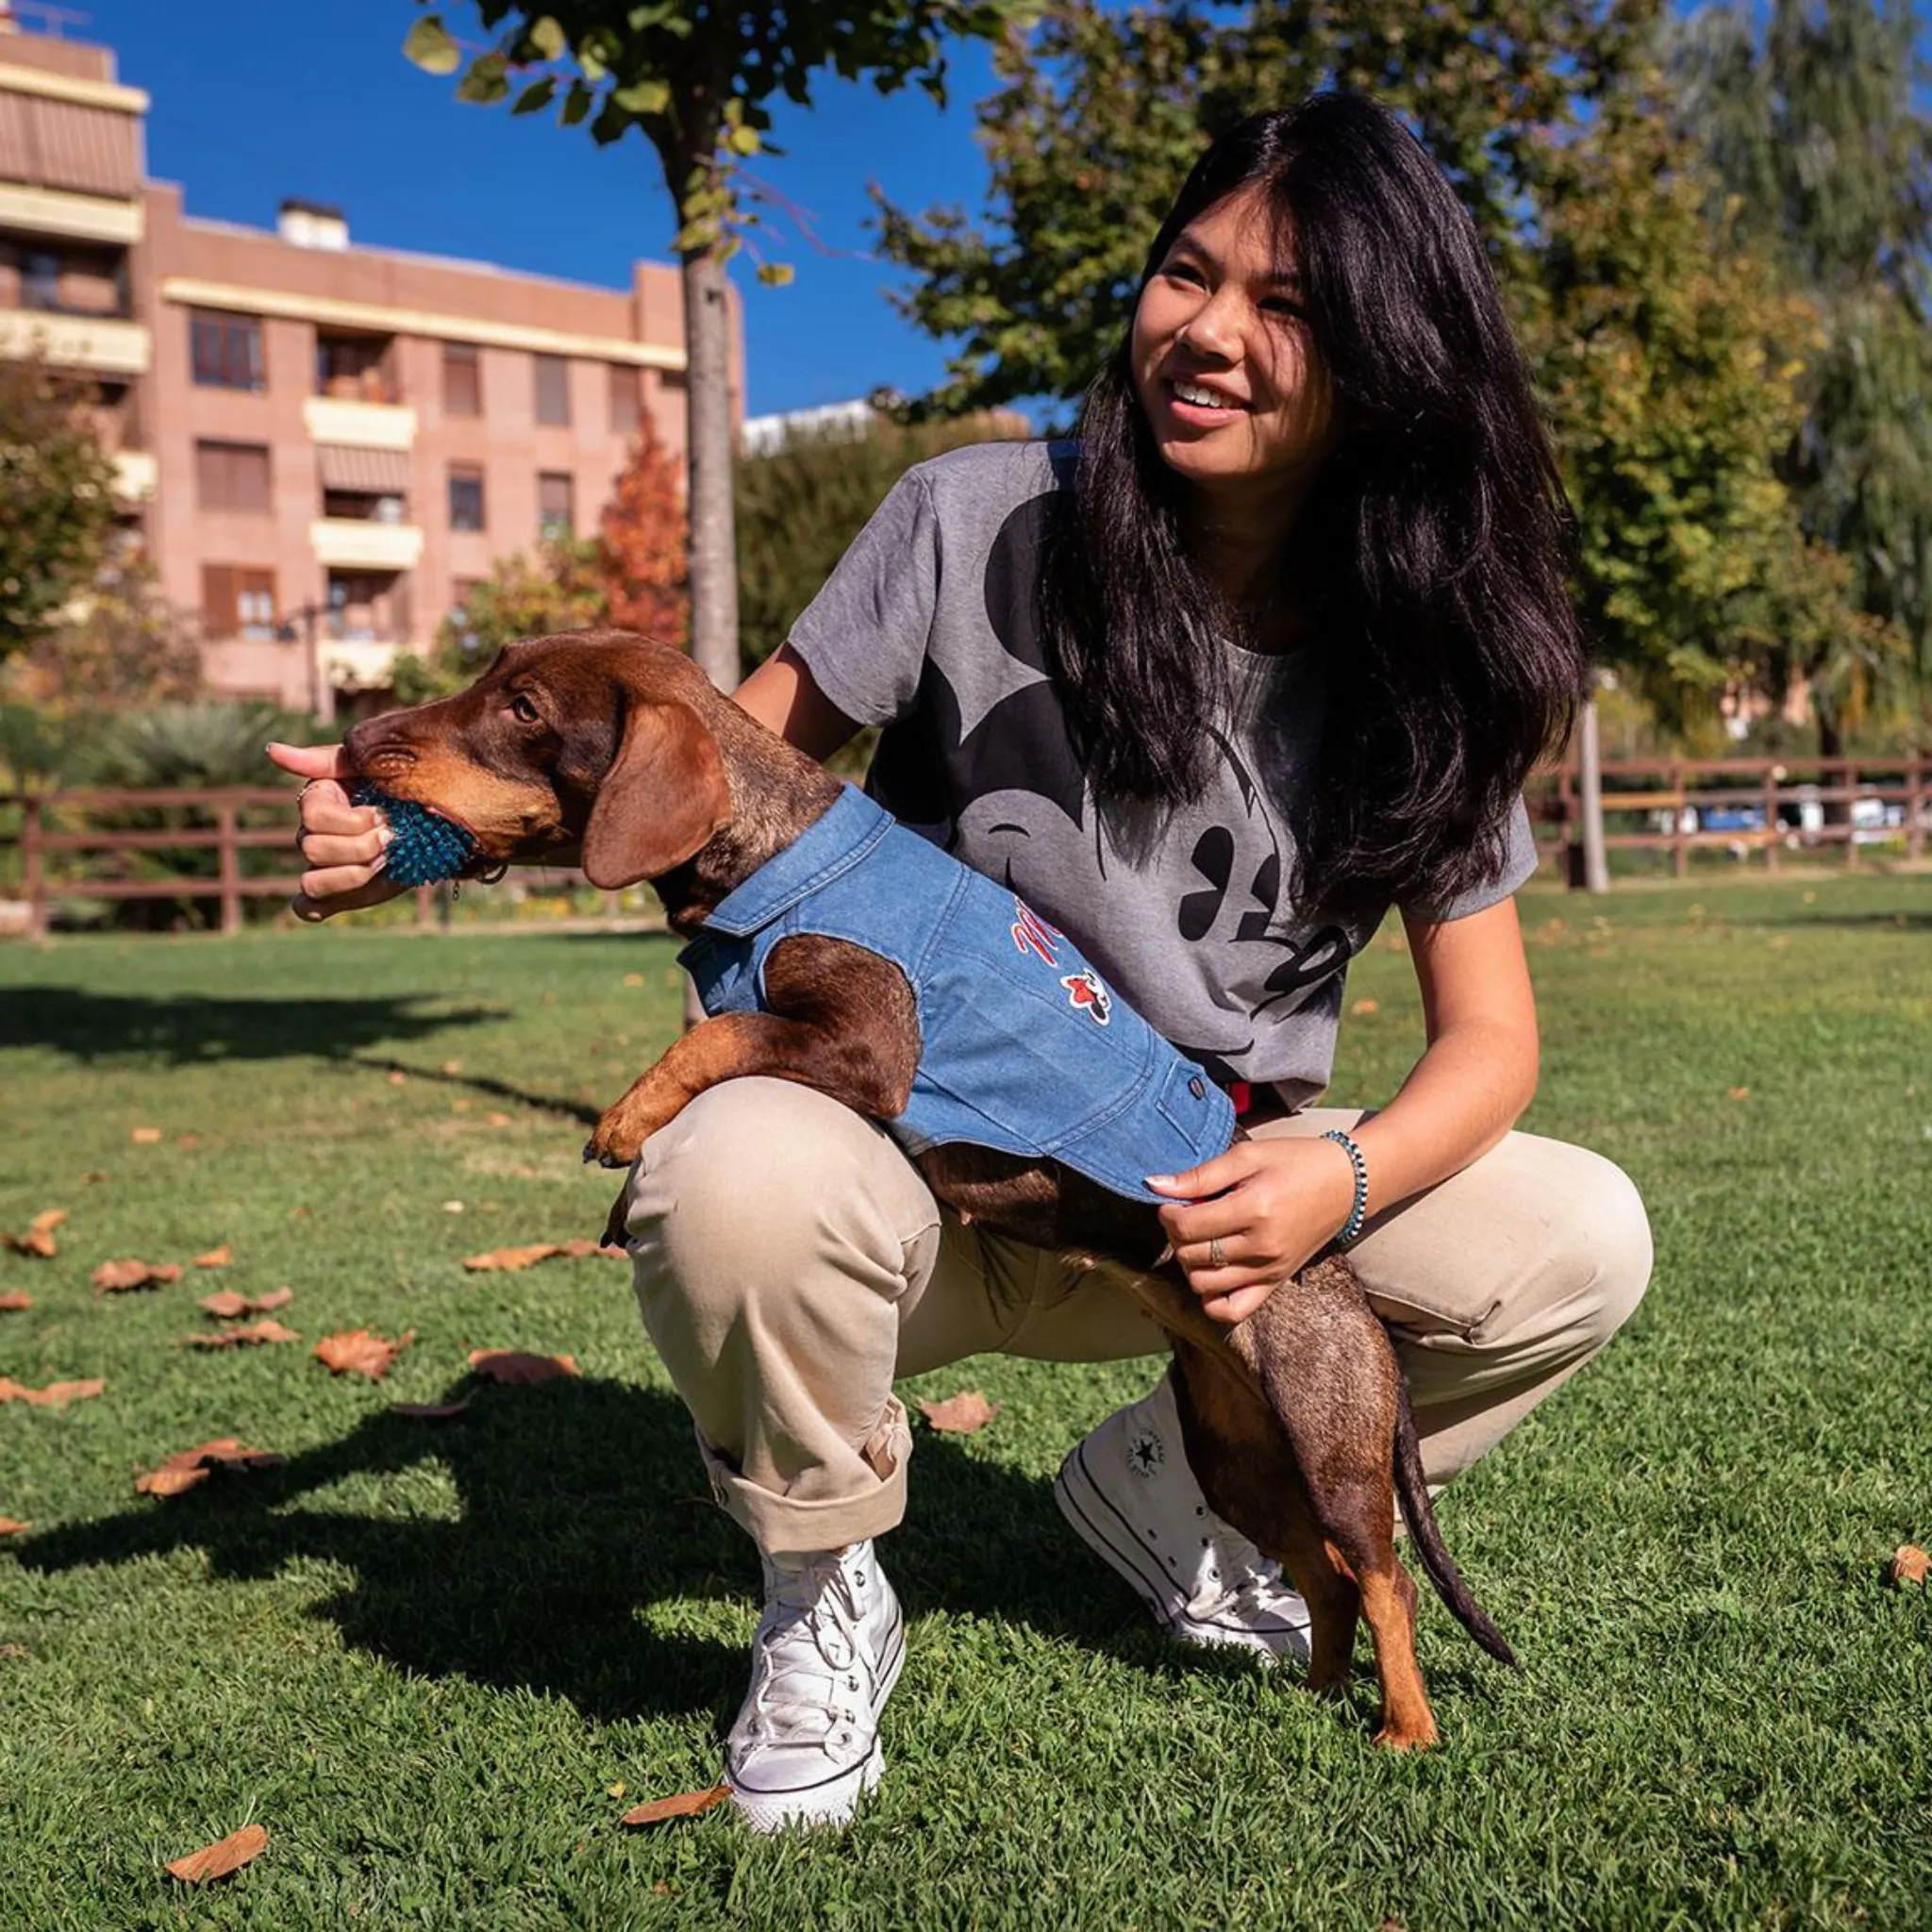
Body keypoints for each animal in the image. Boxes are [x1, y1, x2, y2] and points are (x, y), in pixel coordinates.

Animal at [347, 625, 1522, 1746]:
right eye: (495, 676)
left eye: (523, 707)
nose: (356, 742)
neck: (781, 853)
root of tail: (1340, 1284)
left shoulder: (871, 1050)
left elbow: (723, 1030)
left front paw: (626, 1117)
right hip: (1239, 1455)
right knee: (1325, 1576)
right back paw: (1319, 1690)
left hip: (1329, 1447)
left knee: (1385, 1577)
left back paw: (1404, 1728)